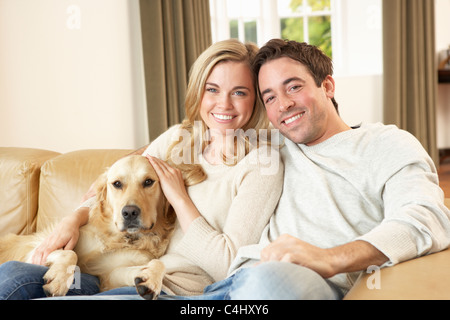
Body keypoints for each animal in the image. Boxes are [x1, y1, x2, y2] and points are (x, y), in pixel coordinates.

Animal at [0, 156, 176, 300]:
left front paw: (151, 279)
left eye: (148, 182)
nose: (129, 212)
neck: (120, 237)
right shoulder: (37, 251)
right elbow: (70, 253)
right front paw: (59, 280)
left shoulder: (108, 276)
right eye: (117, 184)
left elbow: (158, 264)